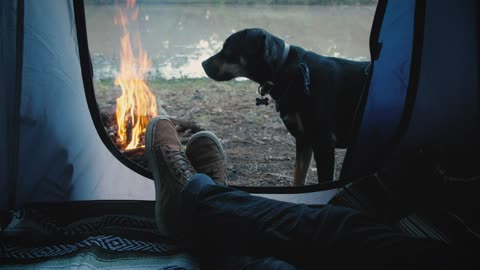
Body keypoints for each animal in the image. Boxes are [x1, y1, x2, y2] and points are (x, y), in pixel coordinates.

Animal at [201, 29, 370, 186]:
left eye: (228, 48)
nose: (202, 64)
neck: (286, 70)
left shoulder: (324, 143)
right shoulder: (304, 140)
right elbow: (298, 178)